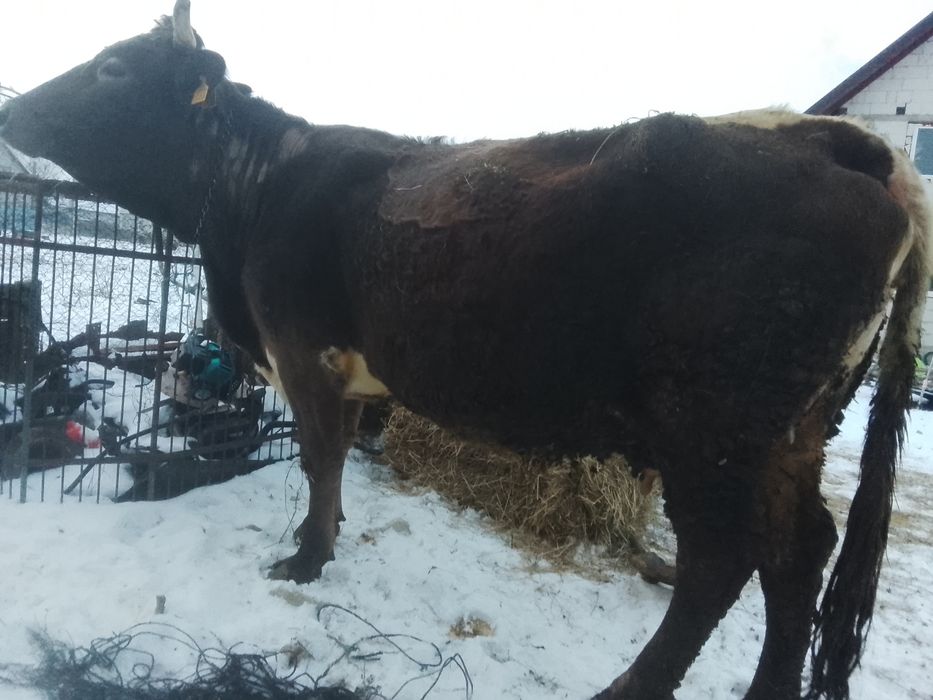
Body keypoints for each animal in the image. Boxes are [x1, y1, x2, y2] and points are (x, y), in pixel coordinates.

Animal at [1, 3, 929, 698]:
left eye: (113, 68)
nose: (11, 108)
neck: (256, 189)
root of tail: (837, 141)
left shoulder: (302, 349)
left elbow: (319, 455)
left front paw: (306, 557)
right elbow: (334, 458)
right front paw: (324, 535)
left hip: (713, 428)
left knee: (722, 563)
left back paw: (631, 686)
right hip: (794, 429)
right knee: (800, 551)